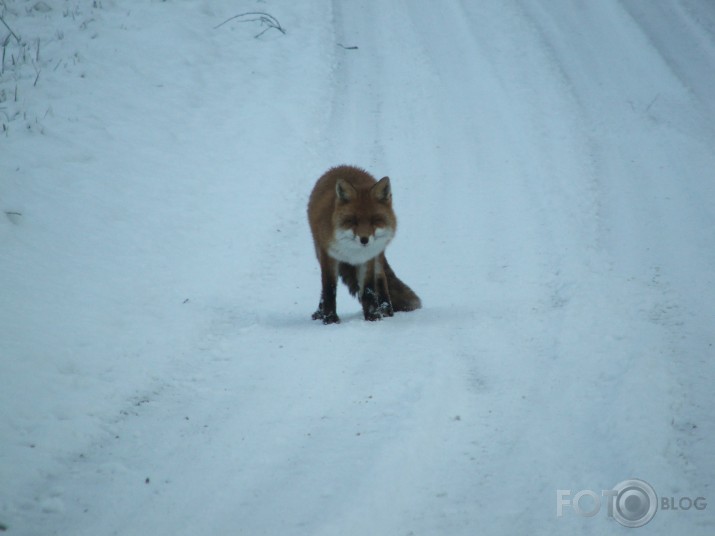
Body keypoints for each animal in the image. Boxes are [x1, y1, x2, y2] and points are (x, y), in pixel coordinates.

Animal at [306, 164, 420, 322]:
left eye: (375, 220)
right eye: (353, 221)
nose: (364, 239)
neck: (352, 252)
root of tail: (342, 166)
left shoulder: (368, 258)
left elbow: (368, 289)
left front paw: (373, 316)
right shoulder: (328, 257)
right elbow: (329, 288)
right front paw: (330, 319)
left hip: (378, 256)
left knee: (382, 279)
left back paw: (386, 309)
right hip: (318, 251)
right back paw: (319, 312)